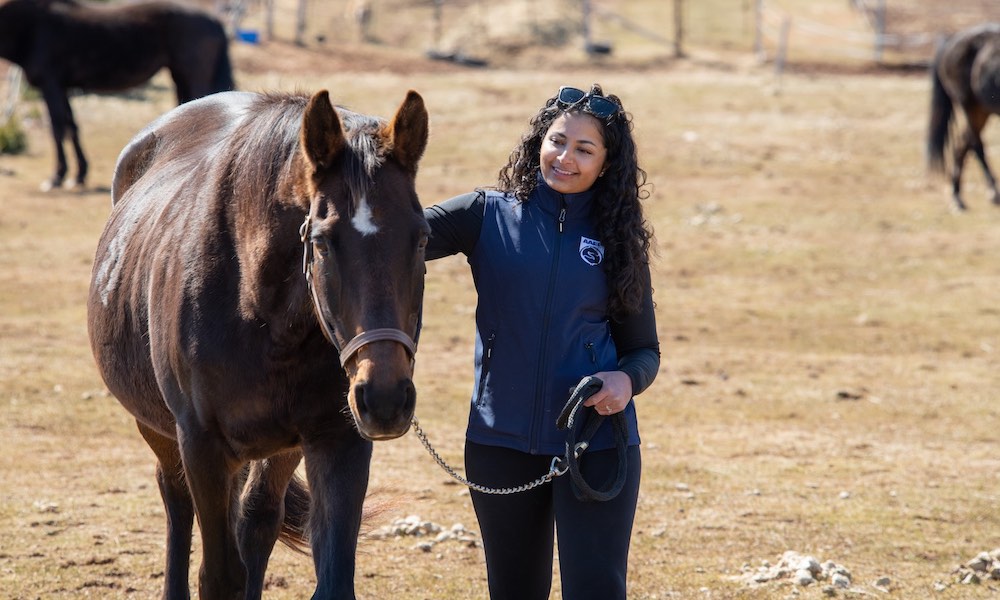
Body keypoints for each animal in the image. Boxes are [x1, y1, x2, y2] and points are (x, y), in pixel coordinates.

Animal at [0, 0, 234, 190]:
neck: (31, 27)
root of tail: (215, 21)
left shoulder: (51, 84)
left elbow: (57, 127)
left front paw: (57, 176)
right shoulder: (63, 87)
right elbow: (72, 127)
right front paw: (79, 174)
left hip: (193, 76)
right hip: (180, 77)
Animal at [88, 89, 428, 600]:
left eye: (422, 237)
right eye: (323, 242)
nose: (385, 398)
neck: (254, 306)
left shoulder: (338, 438)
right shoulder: (202, 445)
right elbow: (218, 575)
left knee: (256, 522)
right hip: (158, 427)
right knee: (176, 501)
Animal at [924, 22, 1000, 212]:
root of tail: (952, 39)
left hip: (981, 111)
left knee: (962, 144)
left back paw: (956, 195)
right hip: (969, 105)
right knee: (975, 144)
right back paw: (992, 192)